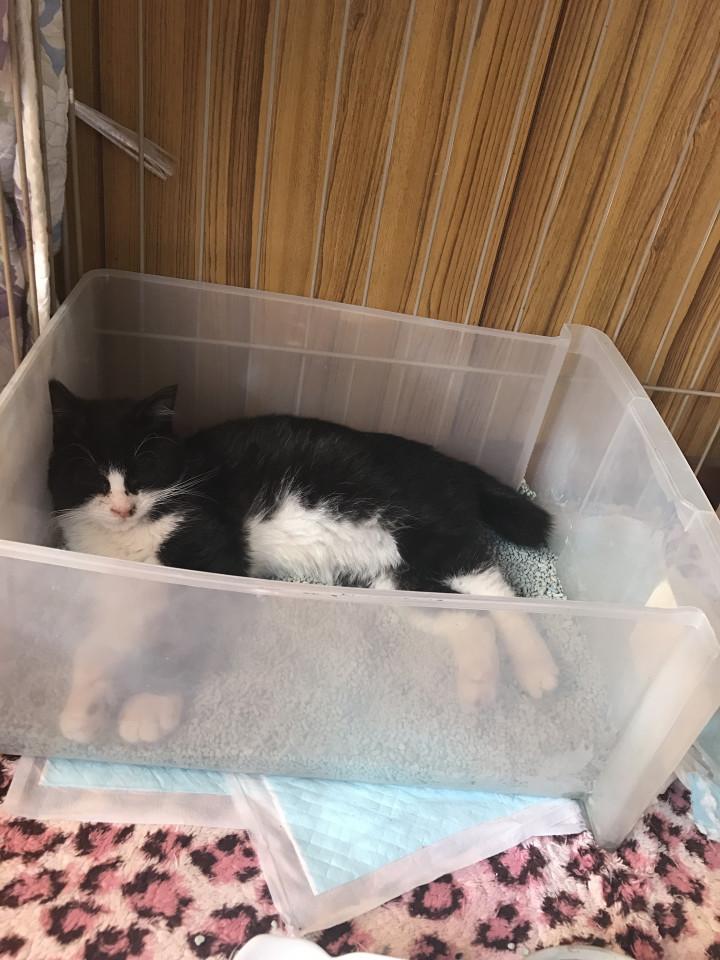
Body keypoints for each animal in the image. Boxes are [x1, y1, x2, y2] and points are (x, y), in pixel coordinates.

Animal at [48, 379, 558, 744]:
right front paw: (85, 708)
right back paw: (479, 685)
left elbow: (183, 637)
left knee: (495, 590)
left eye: (142, 470)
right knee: (467, 616)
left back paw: (537, 668)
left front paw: (150, 706)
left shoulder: (212, 554)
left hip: (430, 532)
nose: (122, 507)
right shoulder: (122, 592)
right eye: (92, 475)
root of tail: (452, 464)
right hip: (391, 576)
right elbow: (101, 643)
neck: (130, 538)